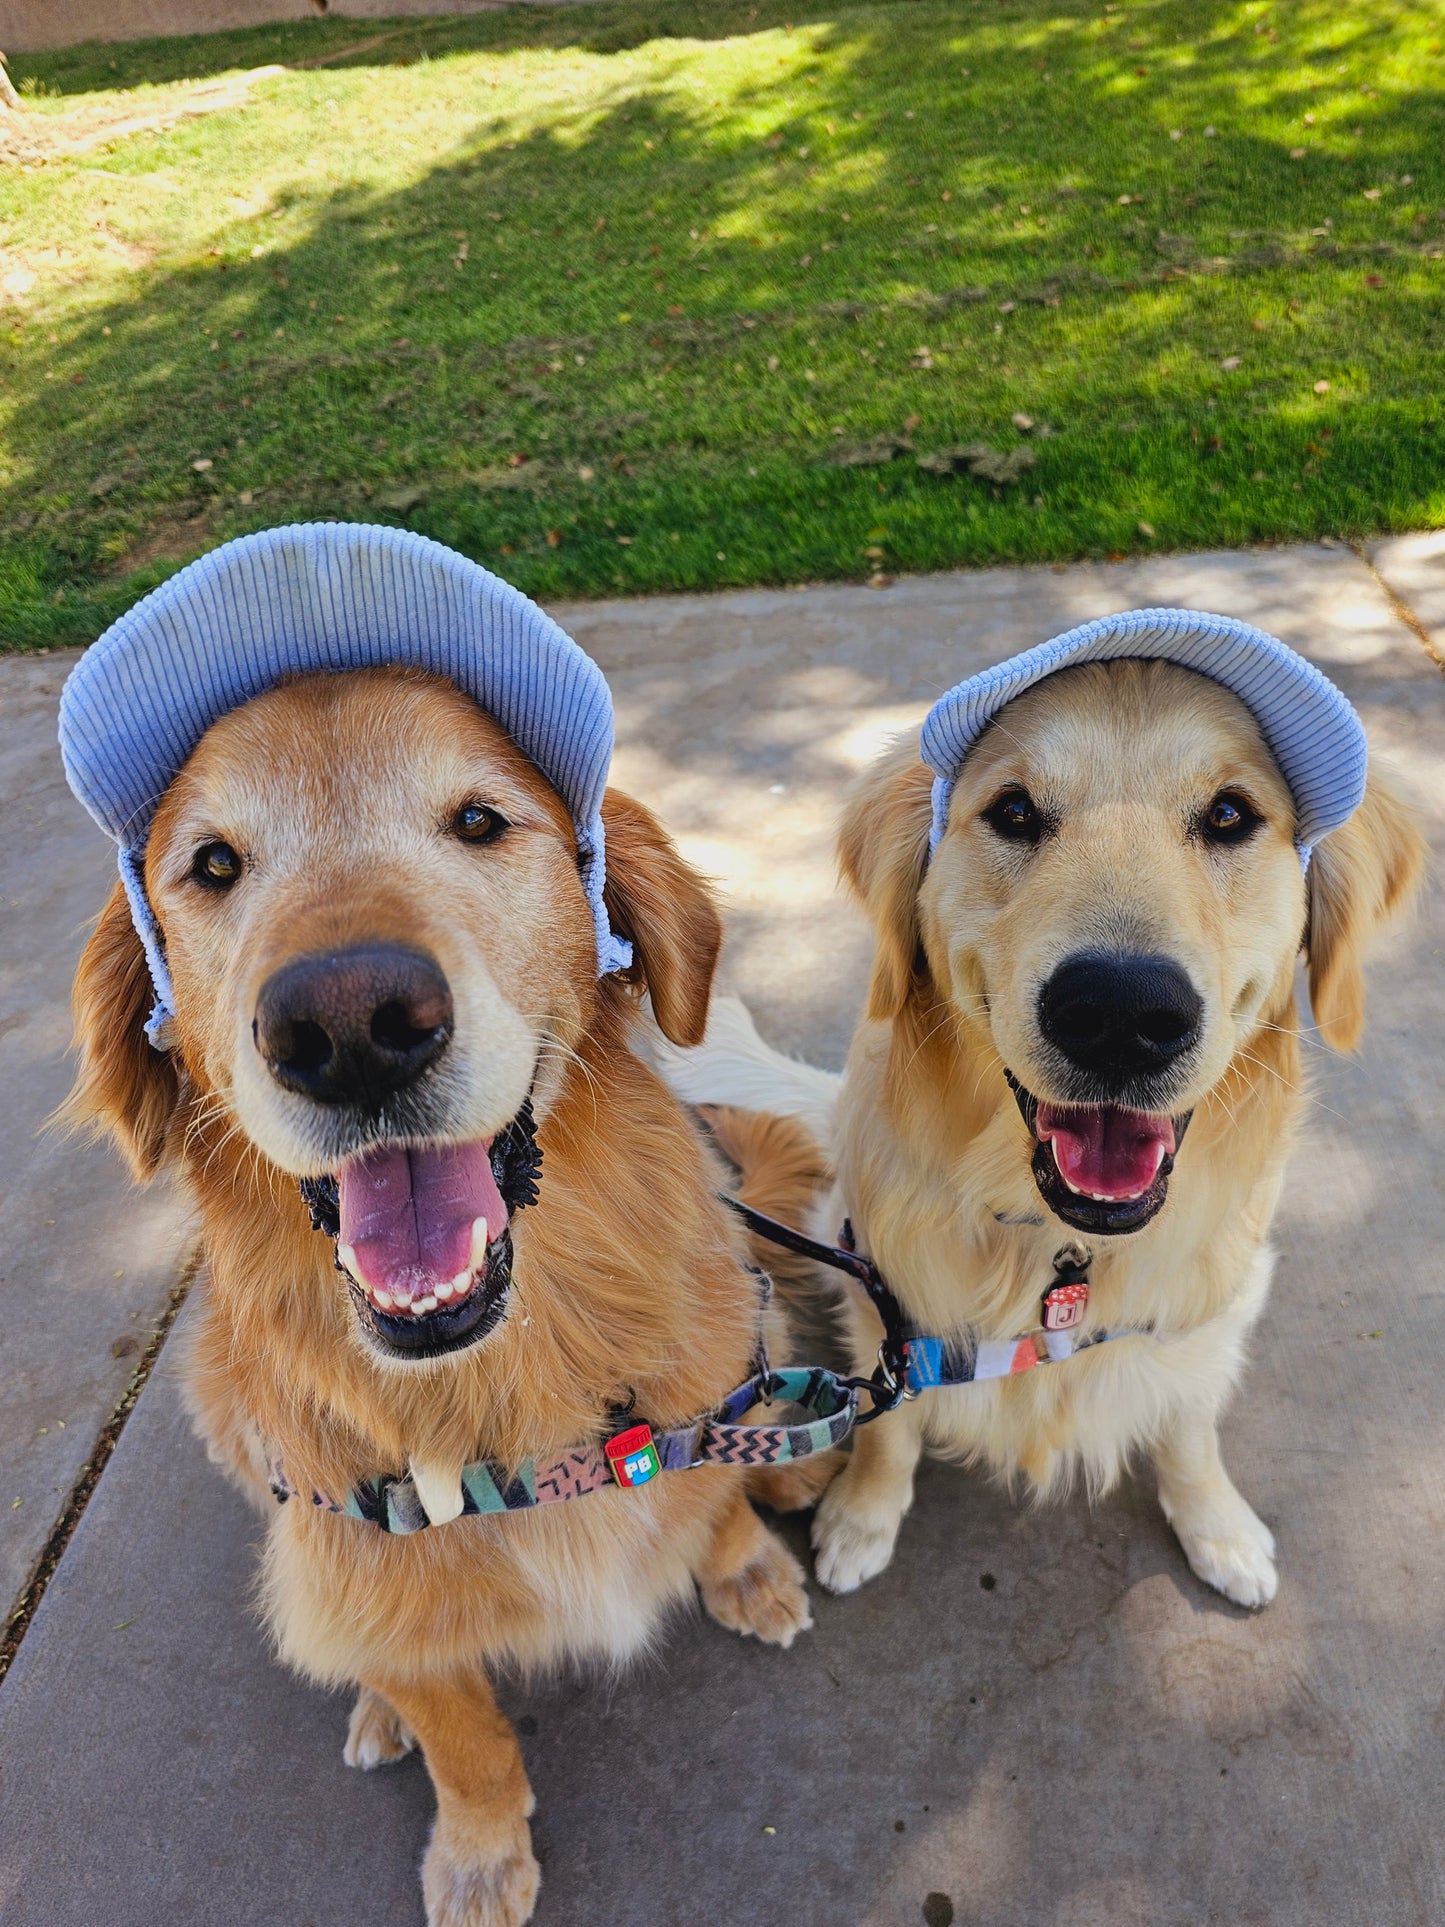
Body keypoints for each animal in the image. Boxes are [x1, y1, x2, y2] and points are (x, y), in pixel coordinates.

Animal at [65, 666, 816, 1927]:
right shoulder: (368, 1557)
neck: (502, 1381)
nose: (347, 1026)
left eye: (477, 820)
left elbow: (709, 1497)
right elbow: (461, 1730)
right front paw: (476, 1849)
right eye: (212, 864)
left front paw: (745, 1561)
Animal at [666, 659, 1425, 1610]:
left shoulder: (1206, 1306)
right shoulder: (889, 1299)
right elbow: (889, 1427)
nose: (1118, 1014)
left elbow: (1190, 1426)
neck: (1064, 1247)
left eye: (1229, 815)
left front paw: (1217, 1527)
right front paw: (862, 1516)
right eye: (1015, 811)